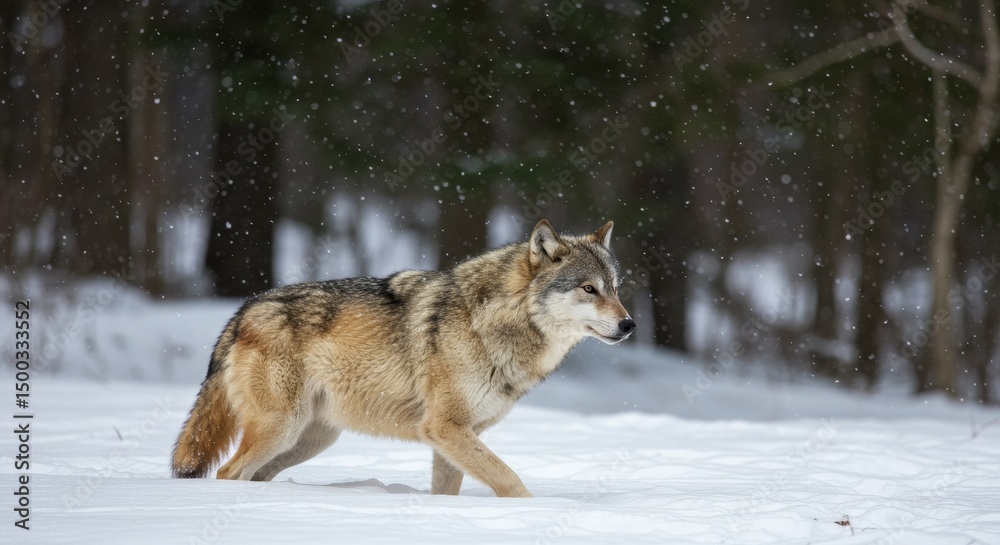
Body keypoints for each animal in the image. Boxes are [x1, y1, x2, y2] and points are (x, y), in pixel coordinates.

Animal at [171, 219, 634, 498]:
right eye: (588, 289)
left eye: (614, 288)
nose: (629, 324)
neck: (490, 322)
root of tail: (245, 309)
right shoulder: (444, 428)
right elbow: (510, 479)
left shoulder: (455, 437)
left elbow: (449, 490)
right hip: (280, 429)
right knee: (228, 473)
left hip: (309, 439)